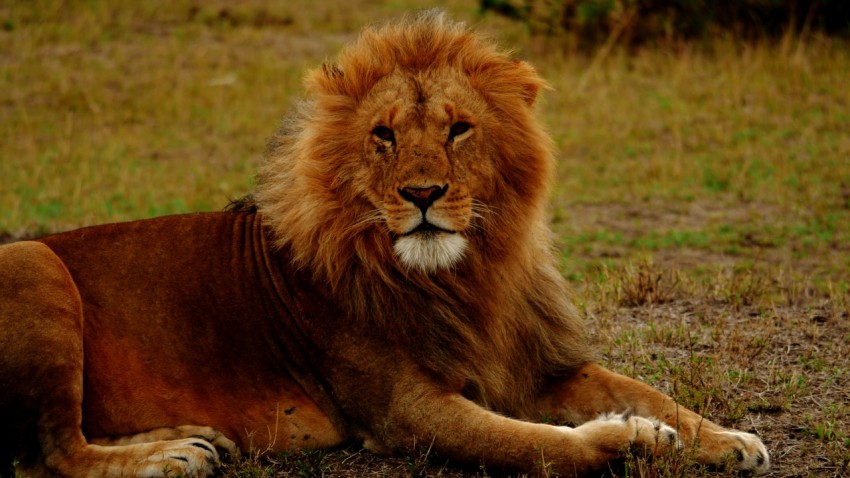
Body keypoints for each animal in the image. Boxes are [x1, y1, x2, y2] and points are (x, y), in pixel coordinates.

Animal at [0, 11, 768, 477]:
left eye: (458, 129)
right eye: (384, 135)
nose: (423, 194)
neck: (465, 277)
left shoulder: (535, 367)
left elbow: (648, 389)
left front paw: (728, 440)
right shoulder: (404, 411)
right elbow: (541, 446)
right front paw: (634, 437)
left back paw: (192, 440)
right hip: (32, 261)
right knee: (53, 452)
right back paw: (169, 458)